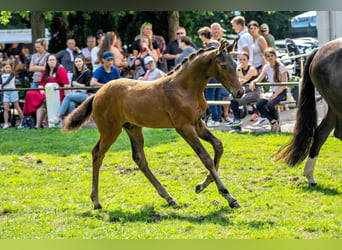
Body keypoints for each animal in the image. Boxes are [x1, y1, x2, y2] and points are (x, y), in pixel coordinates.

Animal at [62, 39, 244, 209]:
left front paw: (201, 185)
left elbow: (218, 146)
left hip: (133, 128)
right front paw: (229, 196)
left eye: (236, 65)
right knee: (97, 154)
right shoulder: (184, 128)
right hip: (110, 131)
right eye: (223, 66)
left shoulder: (197, 124)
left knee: (139, 159)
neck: (185, 88)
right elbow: (205, 157)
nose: (239, 92)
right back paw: (96, 201)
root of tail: (97, 93)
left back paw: (169, 197)